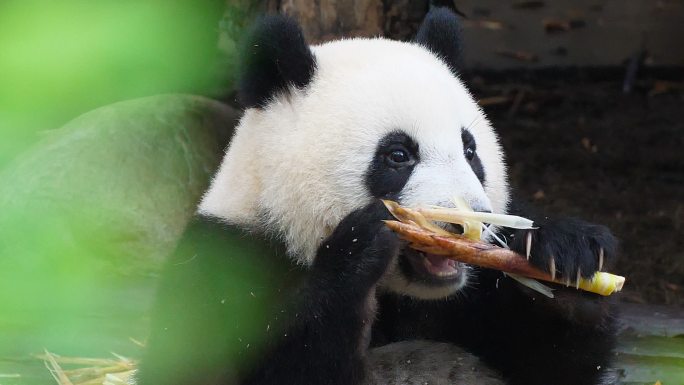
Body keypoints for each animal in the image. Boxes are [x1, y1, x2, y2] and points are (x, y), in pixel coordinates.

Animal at [136, 6, 616, 384]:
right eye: (398, 155)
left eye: (470, 150)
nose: (470, 224)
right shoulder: (223, 271)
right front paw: (360, 247)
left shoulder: (473, 300)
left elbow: (556, 365)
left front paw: (567, 256)